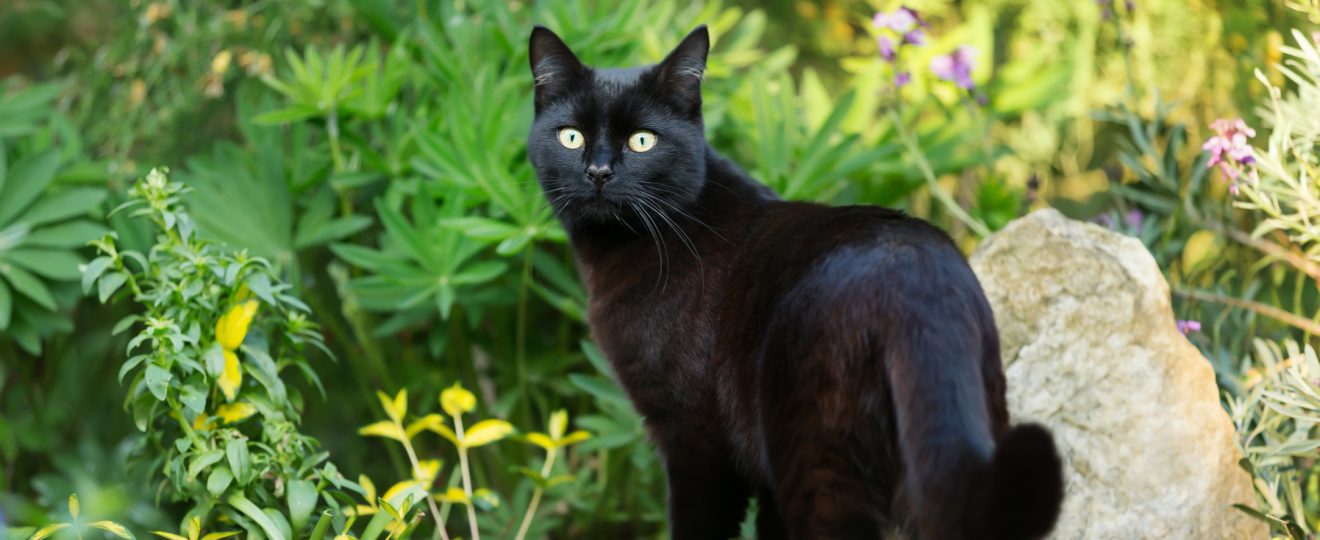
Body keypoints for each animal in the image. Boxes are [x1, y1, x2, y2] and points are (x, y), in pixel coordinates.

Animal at [525, 26, 1061, 538]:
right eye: (571, 137)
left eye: (642, 141)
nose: (598, 171)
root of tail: (918, 279)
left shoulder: (695, 440)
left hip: (813, 458)